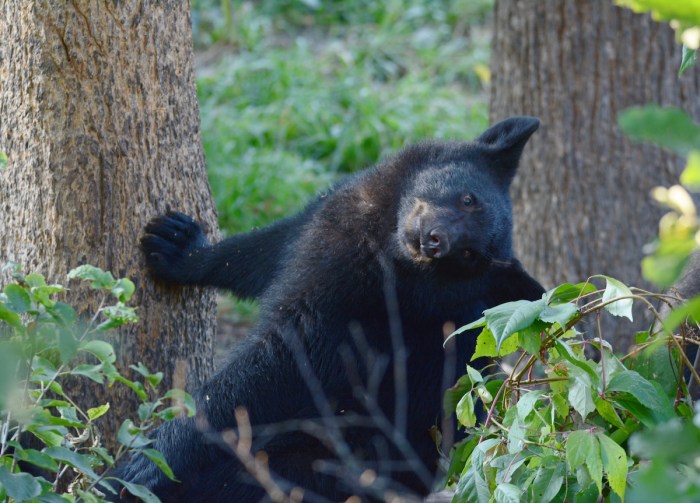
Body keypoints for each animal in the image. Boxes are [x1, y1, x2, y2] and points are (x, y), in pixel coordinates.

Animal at [115, 116, 544, 502]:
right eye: (467, 198)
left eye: (469, 256)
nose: (437, 241)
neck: (385, 245)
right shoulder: (331, 221)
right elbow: (267, 252)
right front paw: (178, 245)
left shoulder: (358, 308)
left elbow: (277, 365)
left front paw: (150, 459)